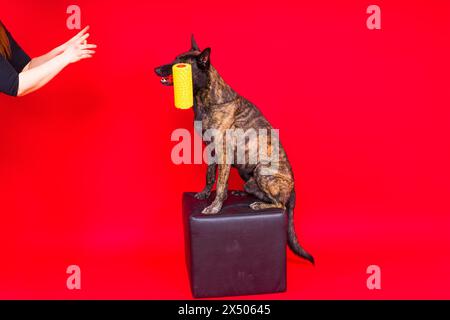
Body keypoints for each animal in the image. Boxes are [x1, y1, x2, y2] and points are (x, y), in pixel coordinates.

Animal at [155, 36, 312, 264]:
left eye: (180, 64)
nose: (156, 69)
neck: (208, 98)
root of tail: (293, 190)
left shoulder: (224, 153)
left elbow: (221, 185)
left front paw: (214, 207)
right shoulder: (210, 151)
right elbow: (210, 176)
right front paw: (204, 194)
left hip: (263, 171)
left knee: (280, 204)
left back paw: (259, 205)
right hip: (249, 177)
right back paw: (244, 193)